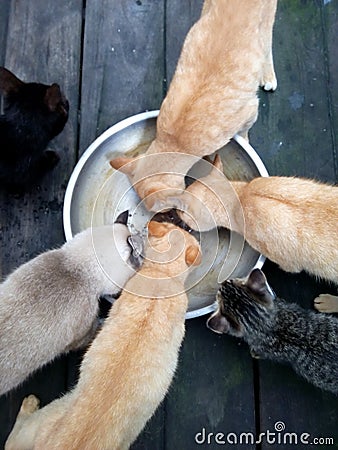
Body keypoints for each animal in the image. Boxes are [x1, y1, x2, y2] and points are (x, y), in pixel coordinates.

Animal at [108, 0, 278, 211]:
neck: (176, 139)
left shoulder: (250, 110)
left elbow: (245, 132)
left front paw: (245, 141)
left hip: (267, 19)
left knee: (267, 43)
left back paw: (268, 74)